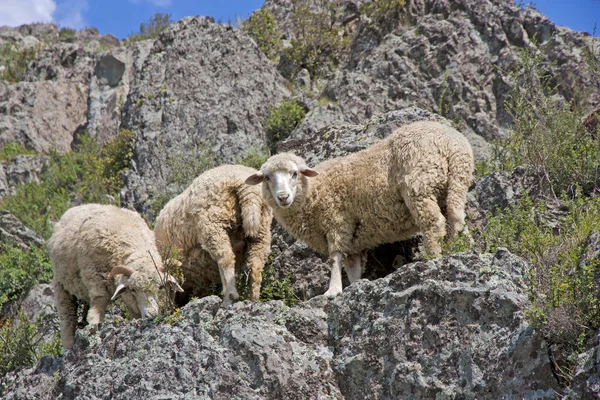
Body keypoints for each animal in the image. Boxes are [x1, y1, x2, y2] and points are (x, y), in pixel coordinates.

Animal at [48, 203, 183, 346]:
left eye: (160, 288)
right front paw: (94, 323)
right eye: (134, 290)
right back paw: (69, 344)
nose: (151, 315)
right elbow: (100, 300)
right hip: (61, 284)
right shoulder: (95, 276)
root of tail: (81, 206)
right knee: (68, 318)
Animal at [156, 164, 276, 308]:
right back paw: (254, 299)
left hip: (213, 224)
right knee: (255, 263)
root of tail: (243, 182)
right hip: (261, 229)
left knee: (226, 258)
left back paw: (229, 297)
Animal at [244, 120, 474, 298]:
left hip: (420, 186)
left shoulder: (338, 223)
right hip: (454, 185)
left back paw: (432, 258)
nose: (283, 197)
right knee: (456, 221)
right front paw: (353, 287)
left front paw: (332, 291)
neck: (314, 192)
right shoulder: (353, 242)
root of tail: (452, 144)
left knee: (434, 224)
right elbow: (352, 268)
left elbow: (335, 258)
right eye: (267, 178)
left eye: (294, 174)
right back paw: (458, 249)